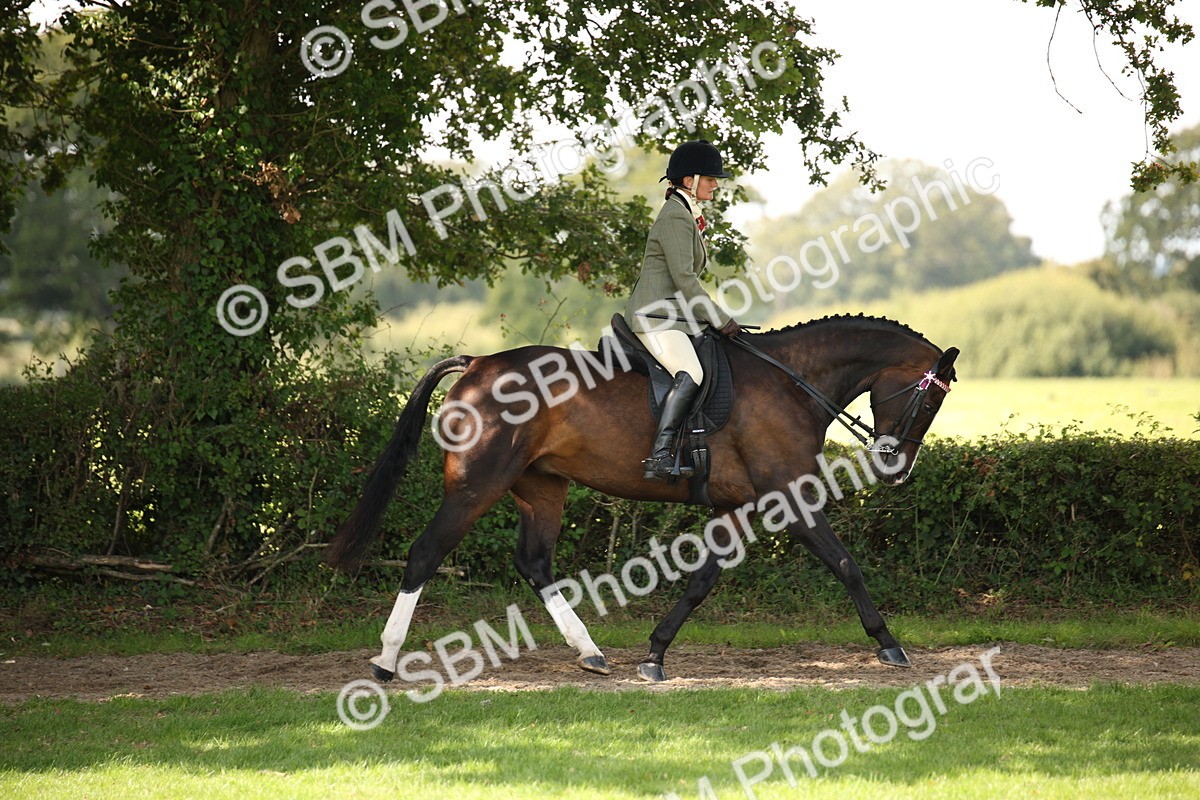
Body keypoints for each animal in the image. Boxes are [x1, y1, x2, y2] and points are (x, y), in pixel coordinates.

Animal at [326, 314, 959, 683]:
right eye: (929, 401)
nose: (895, 469)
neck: (792, 383)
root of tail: (479, 363)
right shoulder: (790, 499)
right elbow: (846, 564)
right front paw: (890, 645)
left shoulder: (735, 508)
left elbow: (702, 583)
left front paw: (654, 654)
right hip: (477, 485)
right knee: (424, 554)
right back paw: (385, 661)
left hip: (540, 486)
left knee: (534, 563)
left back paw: (589, 653)